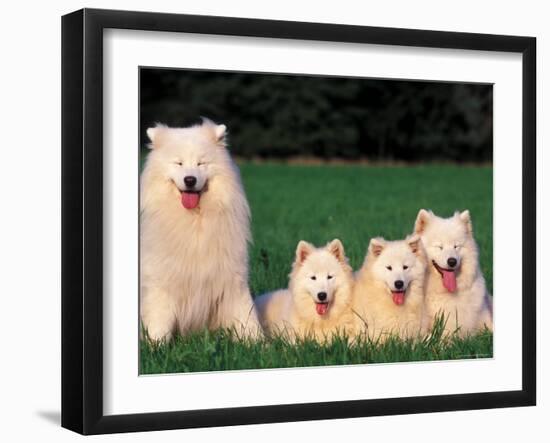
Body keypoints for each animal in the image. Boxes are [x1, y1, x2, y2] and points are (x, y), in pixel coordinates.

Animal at [141, 119, 264, 342]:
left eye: (201, 163)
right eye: (178, 163)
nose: (190, 180)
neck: (194, 222)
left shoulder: (232, 280)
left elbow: (245, 316)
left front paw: (258, 343)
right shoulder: (161, 284)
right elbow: (159, 321)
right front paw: (155, 344)